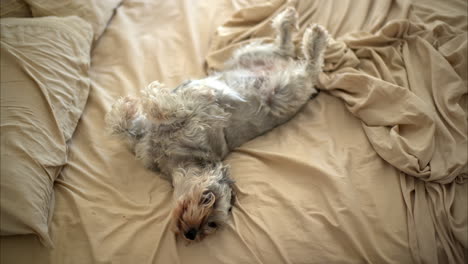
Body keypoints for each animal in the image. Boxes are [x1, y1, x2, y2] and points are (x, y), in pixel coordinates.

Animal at [105, 6, 330, 241]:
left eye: (212, 223)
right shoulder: (154, 135)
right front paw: (129, 106)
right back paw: (291, 21)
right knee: (284, 46)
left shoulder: (197, 114)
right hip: (249, 54)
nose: (192, 234)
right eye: (207, 199)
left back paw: (315, 38)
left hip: (283, 91)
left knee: (310, 67)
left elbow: (169, 108)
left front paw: (152, 97)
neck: (177, 159)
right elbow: (126, 126)